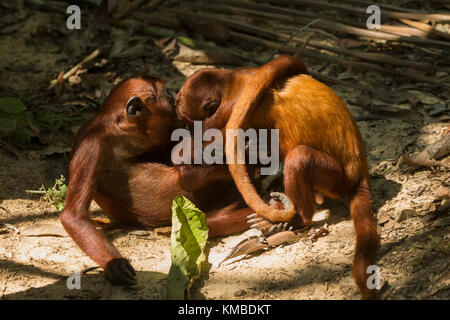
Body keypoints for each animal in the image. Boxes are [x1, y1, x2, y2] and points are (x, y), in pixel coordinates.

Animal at [60, 76, 253, 286]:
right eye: (169, 99)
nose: (176, 99)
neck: (119, 131)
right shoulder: (92, 143)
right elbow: (73, 215)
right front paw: (114, 262)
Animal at [176, 55, 380, 300]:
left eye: (186, 122)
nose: (185, 129)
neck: (230, 84)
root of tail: (359, 172)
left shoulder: (228, 111)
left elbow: (190, 175)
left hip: (336, 181)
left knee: (299, 158)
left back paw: (298, 219)